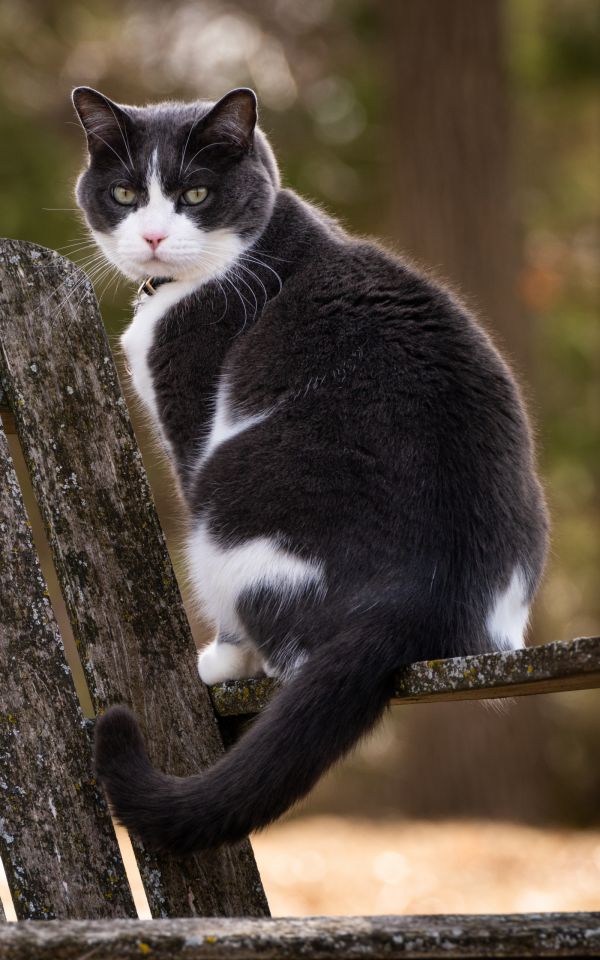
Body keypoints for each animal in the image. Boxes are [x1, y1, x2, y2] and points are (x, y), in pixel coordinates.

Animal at [71, 84, 548, 856]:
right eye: (123, 193)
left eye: (195, 193)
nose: (152, 237)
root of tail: (418, 601)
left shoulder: (191, 414)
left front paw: (219, 657)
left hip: (225, 504)